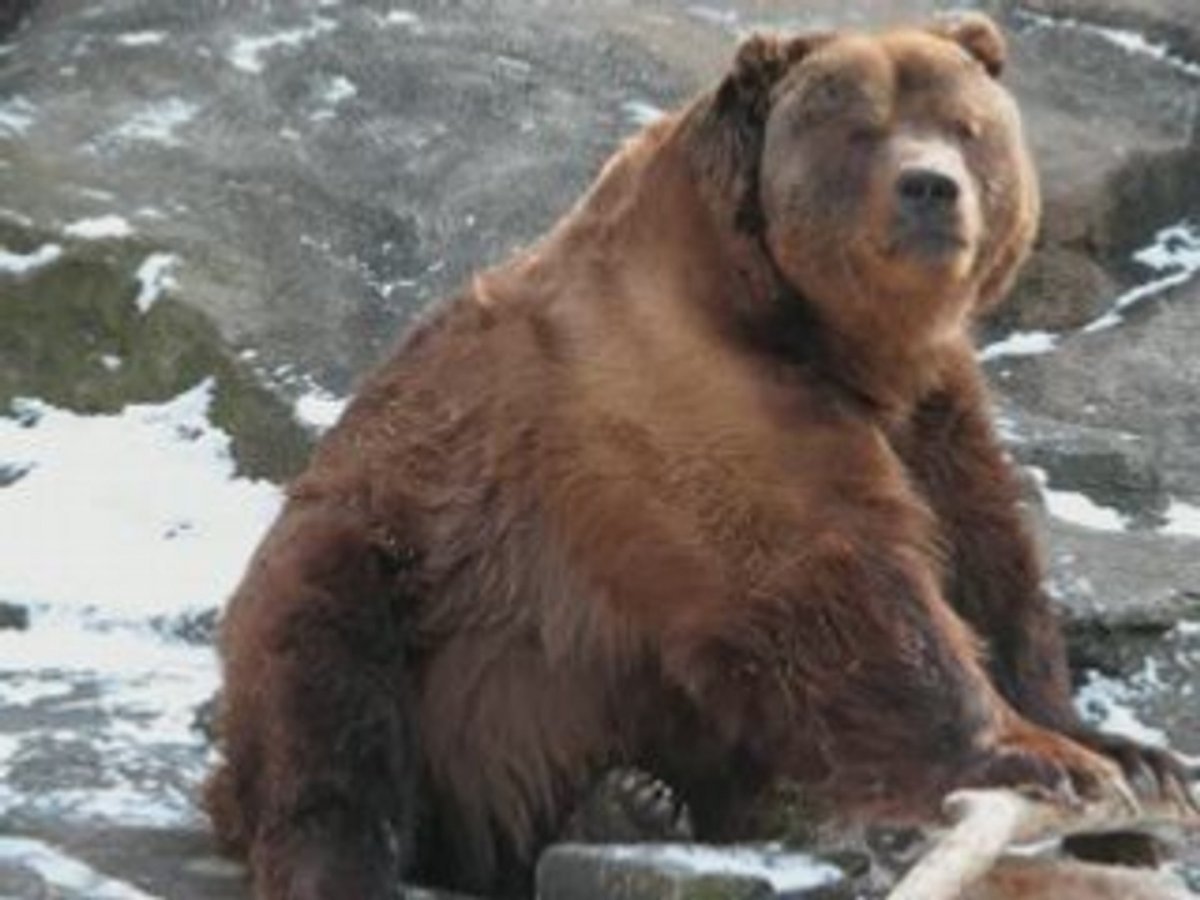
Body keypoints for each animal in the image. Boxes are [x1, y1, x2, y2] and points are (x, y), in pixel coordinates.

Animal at [205, 13, 1194, 900]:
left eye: (966, 126)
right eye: (861, 130)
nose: (930, 188)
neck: (835, 340)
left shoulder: (934, 413)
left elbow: (986, 556)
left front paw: (1126, 753)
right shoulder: (685, 385)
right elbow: (833, 583)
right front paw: (1041, 759)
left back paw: (635, 800)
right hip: (396, 566)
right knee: (323, 685)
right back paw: (361, 854)